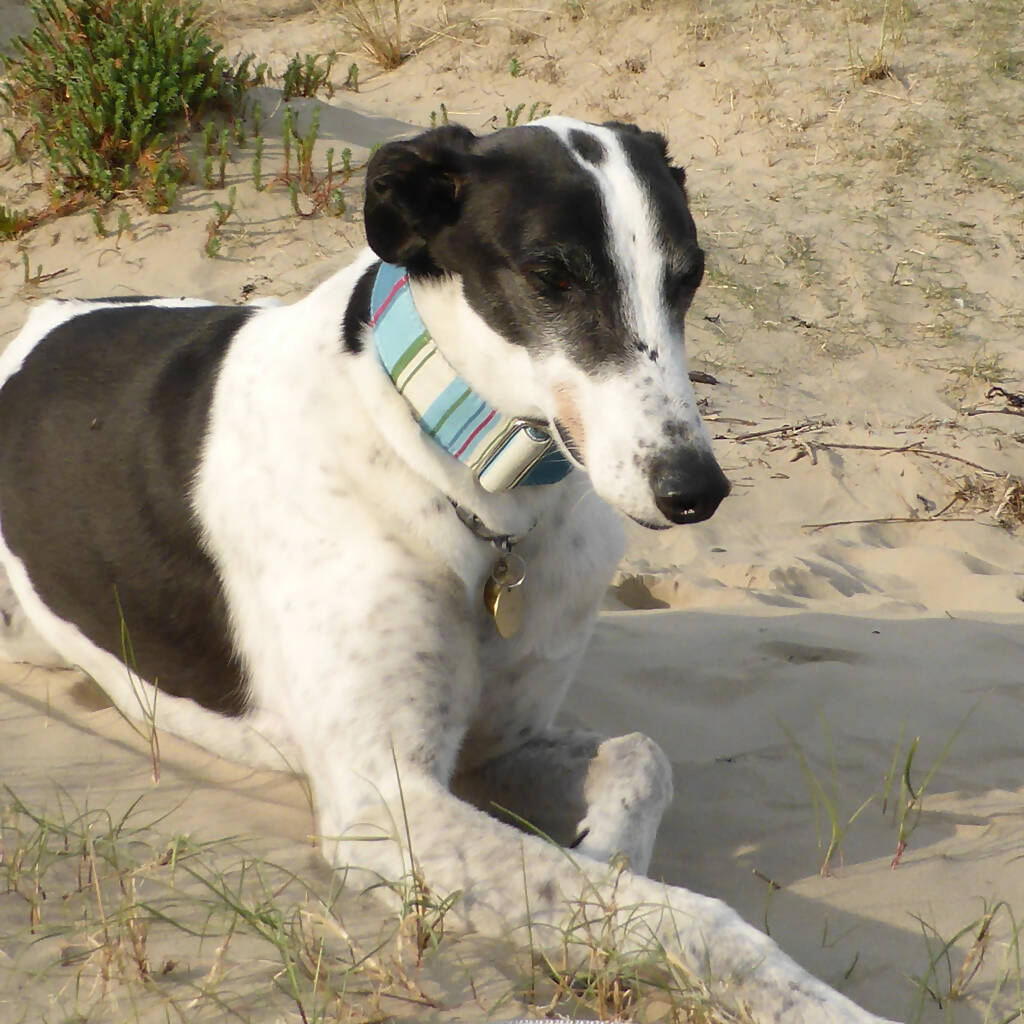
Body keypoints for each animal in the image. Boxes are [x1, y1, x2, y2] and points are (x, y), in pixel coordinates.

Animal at [0, 117, 897, 1024]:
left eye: (689, 275)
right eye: (550, 274)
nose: (694, 491)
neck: (461, 475)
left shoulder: (503, 742)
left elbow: (642, 759)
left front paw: (603, 857)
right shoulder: (383, 804)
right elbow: (689, 917)